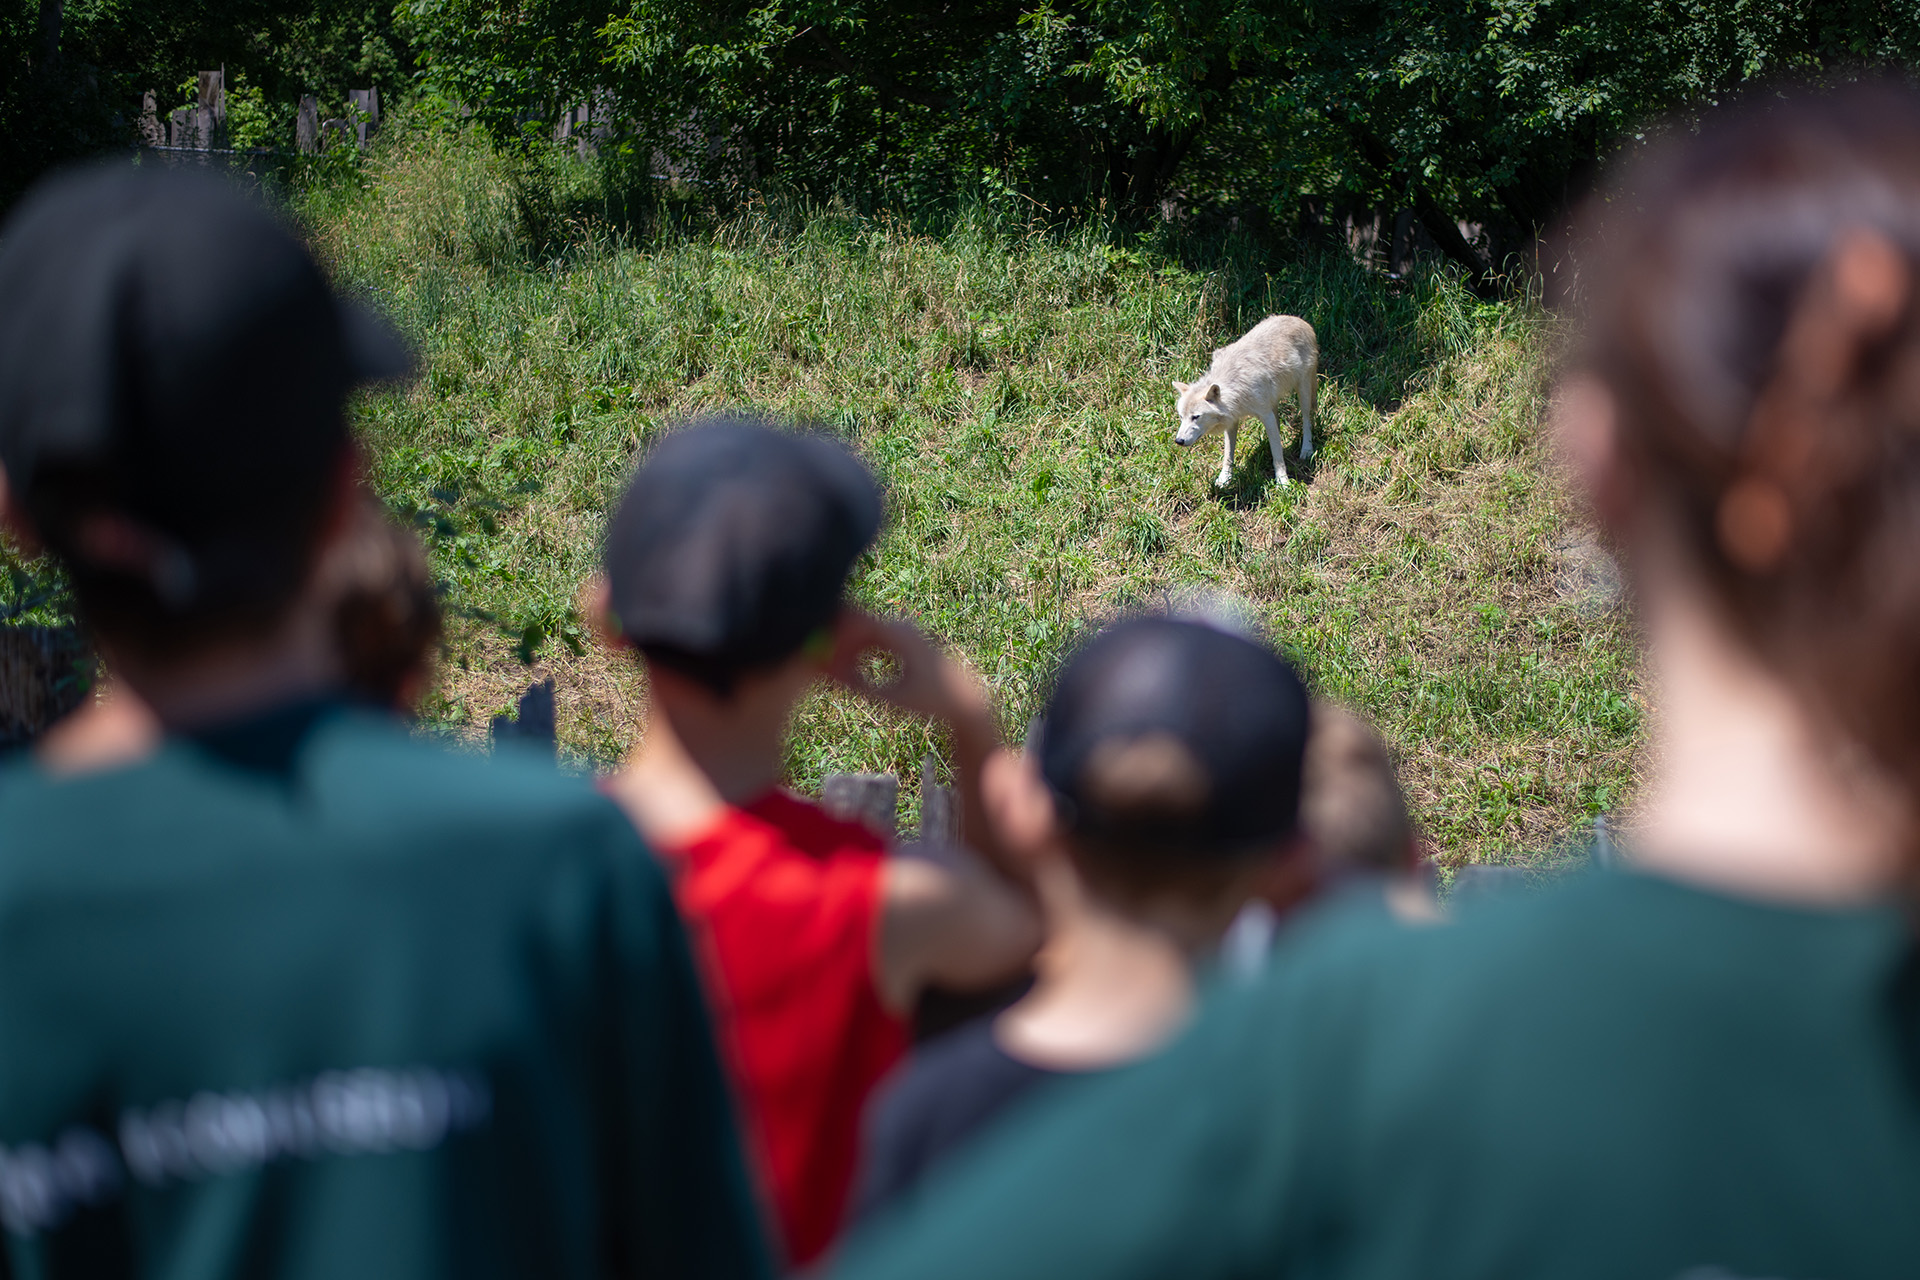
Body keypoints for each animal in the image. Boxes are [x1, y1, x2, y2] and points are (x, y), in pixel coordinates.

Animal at [1167, 314, 1320, 485]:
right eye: (1181, 417)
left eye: (1196, 417)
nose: (1178, 441)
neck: (1235, 389)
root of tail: (1301, 321)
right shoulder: (1232, 420)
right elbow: (1228, 454)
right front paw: (1224, 479)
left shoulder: (1265, 415)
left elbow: (1278, 456)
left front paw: (1283, 482)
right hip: (1273, 401)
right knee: (1278, 425)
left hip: (1304, 392)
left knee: (1306, 419)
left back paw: (1307, 450)